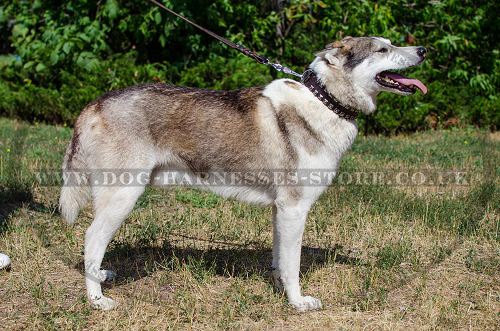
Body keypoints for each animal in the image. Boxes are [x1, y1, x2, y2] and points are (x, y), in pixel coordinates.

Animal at [58, 36, 426, 312]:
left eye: (392, 43)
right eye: (382, 50)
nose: (424, 50)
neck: (325, 102)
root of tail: (96, 103)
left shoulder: (282, 211)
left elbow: (280, 260)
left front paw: (279, 289)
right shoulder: (295, 208)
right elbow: (294, 265)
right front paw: (298, 303)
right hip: (122, 197)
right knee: (90, 240)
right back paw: (97, 300)